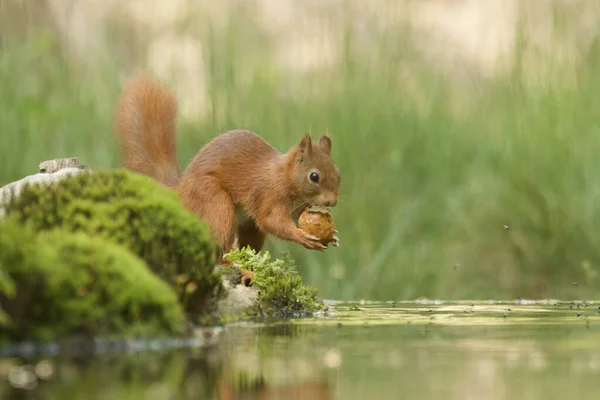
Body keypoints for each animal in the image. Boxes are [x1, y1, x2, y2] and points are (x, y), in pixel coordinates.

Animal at [110, 74, 340, 270]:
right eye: (314, 176)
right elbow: (271, 221)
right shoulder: (270, 194)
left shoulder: (297, 208)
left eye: (338, 174)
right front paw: (301, 236)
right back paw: (232, 265)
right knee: (220, 242)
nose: (332, 202)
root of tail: (181, 189)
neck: (285, 177)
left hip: (248, 226)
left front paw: (333, 236)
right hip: (215, 203)